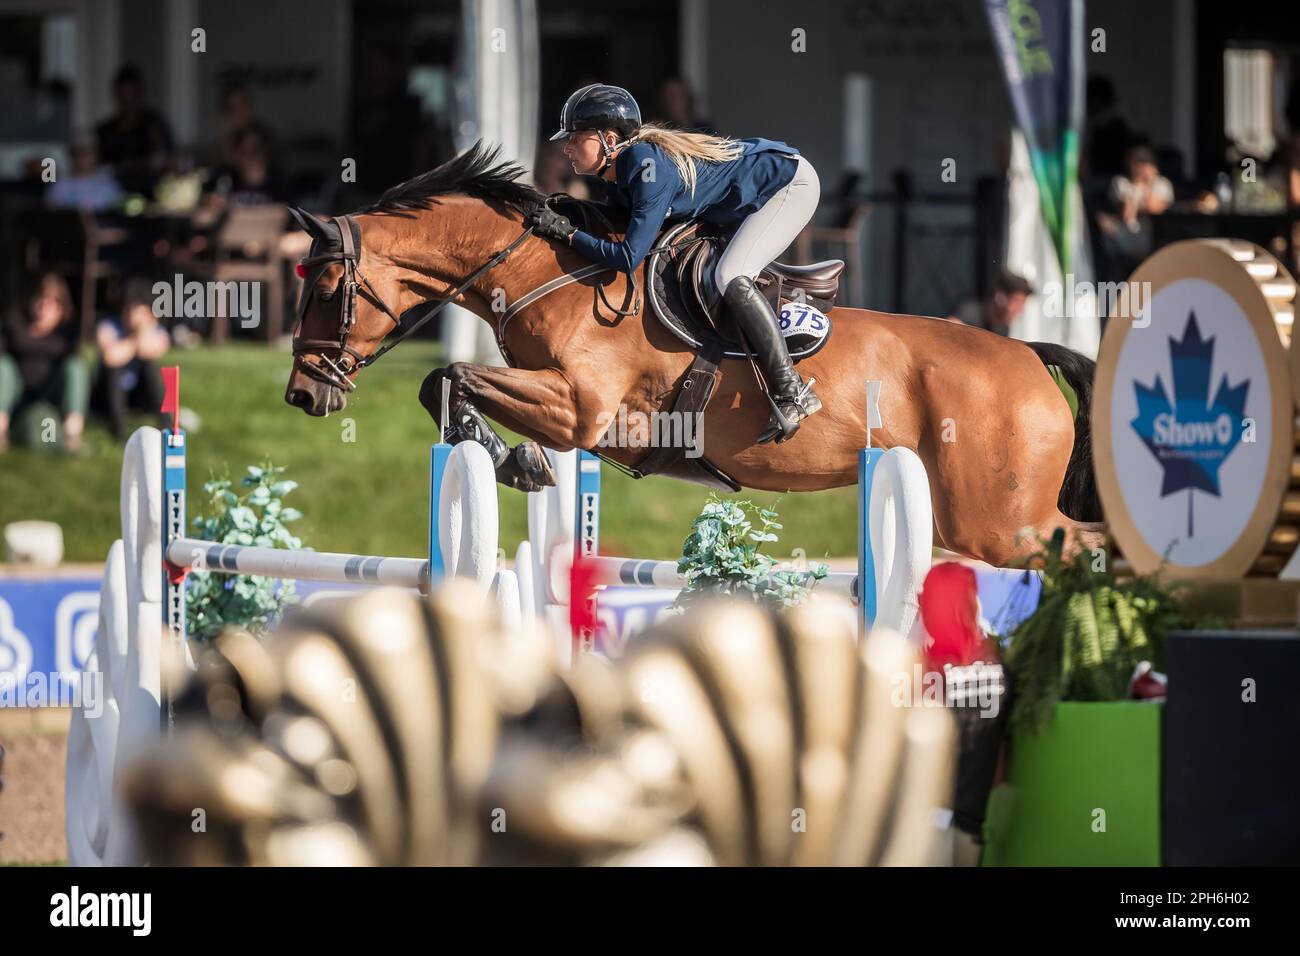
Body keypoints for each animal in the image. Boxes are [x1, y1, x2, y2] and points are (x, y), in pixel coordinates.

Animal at [282, 143, 1097, 567]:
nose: (301, 395)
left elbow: (450, 374)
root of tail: (1028, 355)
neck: (551, 273)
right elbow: (444, 385)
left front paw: (512, 455)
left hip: (999, 522)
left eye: (323, 285)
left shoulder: (581, 410)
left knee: (1084, 549)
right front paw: (511, 457)